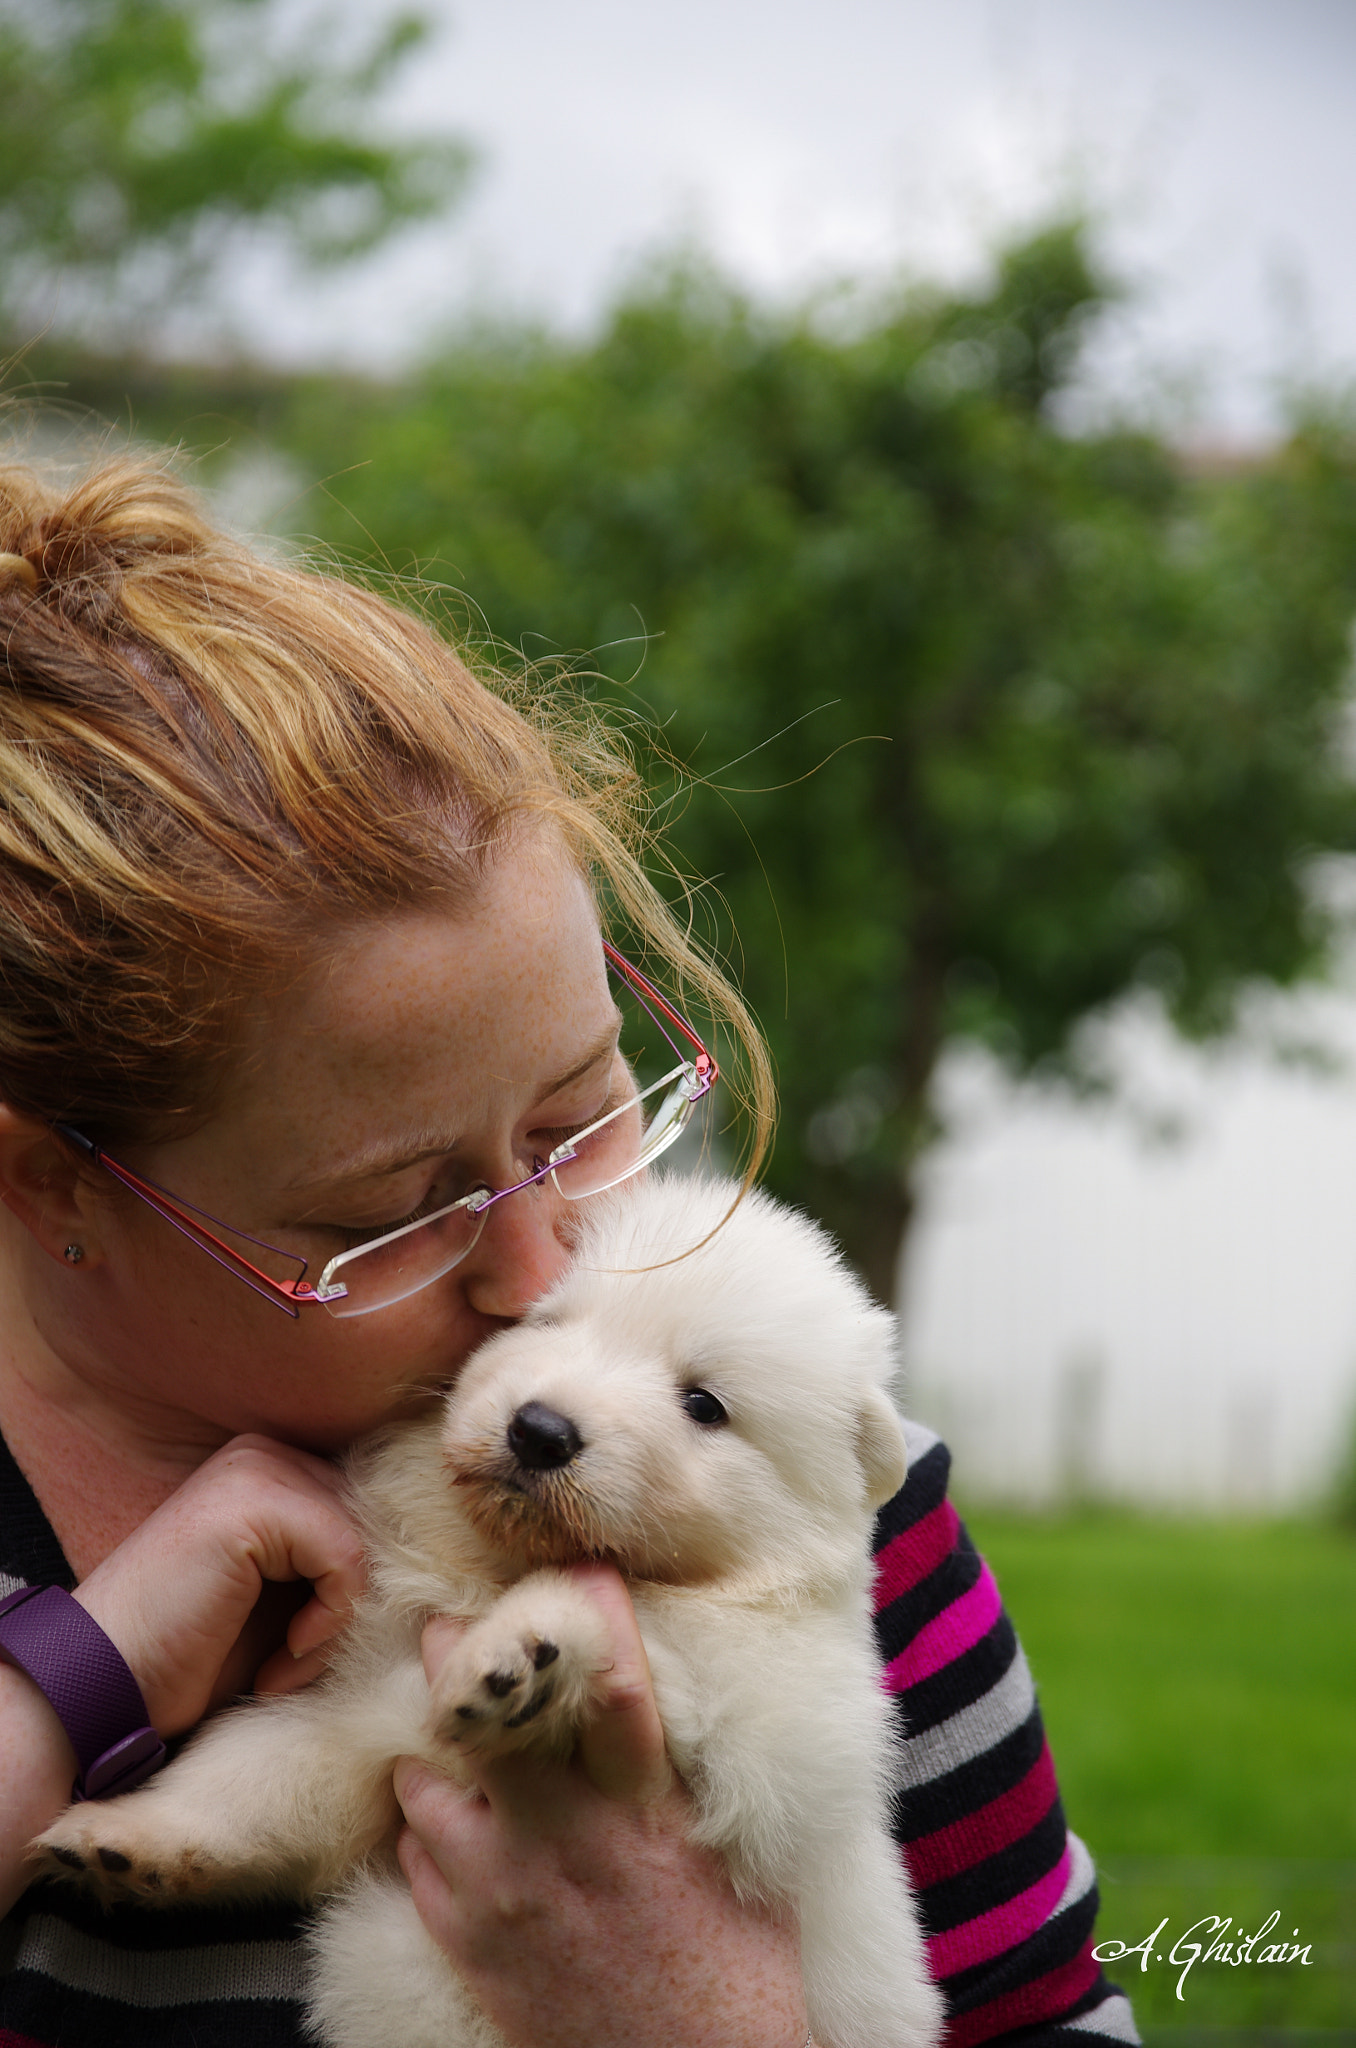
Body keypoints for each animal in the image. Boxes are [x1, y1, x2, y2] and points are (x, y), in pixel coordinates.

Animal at [34, 1179, 946, 2048]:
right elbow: (258, 1774)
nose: (540, 1430)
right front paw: (128, 1840)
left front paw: (520, 1653)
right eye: (547, 1321)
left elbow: (618, 1604)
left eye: (704, 1405)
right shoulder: (362, 1710)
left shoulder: (778, 1727)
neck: (486, 1568)